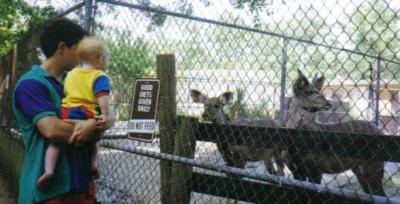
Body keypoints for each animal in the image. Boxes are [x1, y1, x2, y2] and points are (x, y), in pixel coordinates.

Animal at [286, 69, 386, 197]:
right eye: (309, 92)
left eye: (318, 91)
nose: (328, 104)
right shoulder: (296, 170)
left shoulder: (316, 169)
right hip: (360, 170)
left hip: (372, 168)